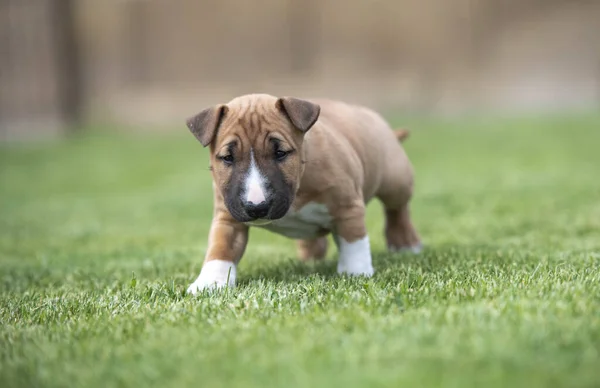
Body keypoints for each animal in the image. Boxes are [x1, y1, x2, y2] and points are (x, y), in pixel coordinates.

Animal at [185, 94, 420, 294]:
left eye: (280, 153)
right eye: (227, 157)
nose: (257, 207)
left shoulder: (348, 206)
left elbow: (354, 240)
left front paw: (357, 273)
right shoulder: (228, 216)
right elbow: (221, 247)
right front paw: (209, 282)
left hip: (395, 180)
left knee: (397, 210)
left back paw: (406, 243)